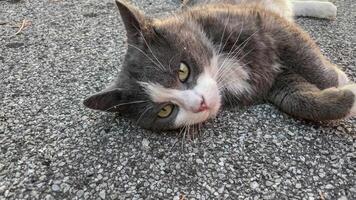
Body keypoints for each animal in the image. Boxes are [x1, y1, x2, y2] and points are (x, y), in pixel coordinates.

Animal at [83, 0, 356, 130]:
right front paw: (346, 97)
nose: (201, 104)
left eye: (183, 71)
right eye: (165, 111)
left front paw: (340, 80)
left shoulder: (262, 24)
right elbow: (297, 98)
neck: (221, 67)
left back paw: (326, 7)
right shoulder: (270, 80)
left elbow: (302, 53)